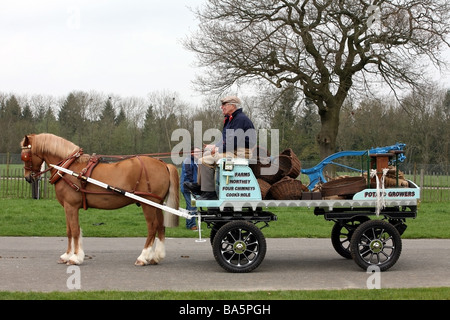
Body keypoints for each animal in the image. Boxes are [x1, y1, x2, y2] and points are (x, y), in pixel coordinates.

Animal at [20, 132, 179, 264]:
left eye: (26, 156)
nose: (28, 178)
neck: (68, 168)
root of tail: (163, 163)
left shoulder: (71, 206)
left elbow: (74, 230)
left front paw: (75, 257)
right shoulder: (68, 207)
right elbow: (69, 230)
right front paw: (67, 255)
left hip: (148, 204)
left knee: (152, 227)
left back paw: (143, 257)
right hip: (157, 204)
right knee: (160, 226)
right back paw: (156, 256)